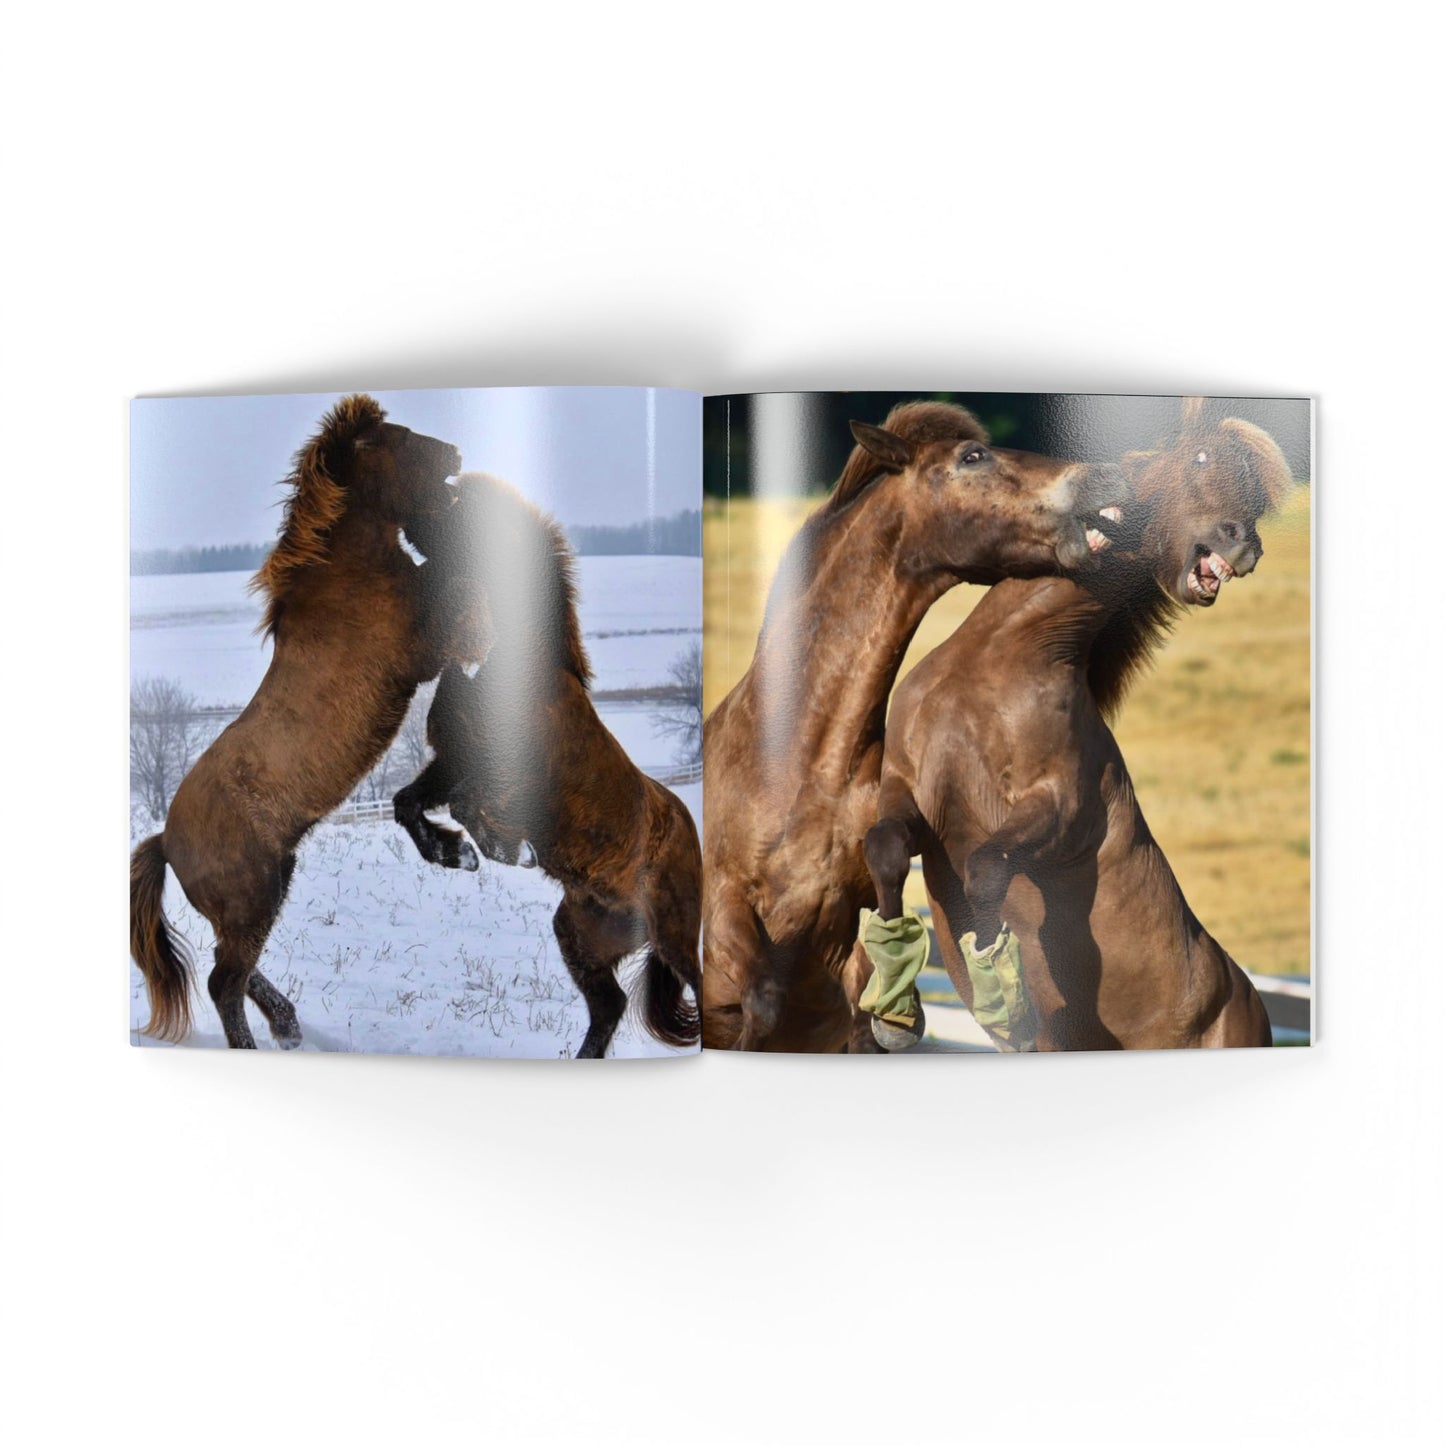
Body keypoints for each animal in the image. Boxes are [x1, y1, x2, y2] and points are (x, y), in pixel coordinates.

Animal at [130, 395, 476, 1049]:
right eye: (394, 439)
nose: (456, 454)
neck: (350, 574)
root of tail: (165, 840)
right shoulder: (422, 647)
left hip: (263, 892)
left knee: (232, 970)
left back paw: (288, 1025)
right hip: (257, 896)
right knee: (224, 981)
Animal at [391, 471, 703, 1059]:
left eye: (457, 500)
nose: (404, 518)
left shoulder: (503, 777)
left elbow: (464, 804)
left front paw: (503, 850)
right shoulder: (454, 759)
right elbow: (409, 804)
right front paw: (457, 854)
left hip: (675, 935)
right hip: (579, 933)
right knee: (609, 1007)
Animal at [701, 400, 1129, 1052]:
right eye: (972, 456)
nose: (1106, 478)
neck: (798, 764)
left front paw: (901, 1005)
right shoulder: (724, 907)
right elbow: (762, 1003)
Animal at [858, 397, 1295, 1051]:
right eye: (1198, 458)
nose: (1246, 545)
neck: (998, 663)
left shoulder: (1061, 810)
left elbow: (987, 869)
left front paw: (1003, 1000)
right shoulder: (908, 788)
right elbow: (885, 848)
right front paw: (893, 1007)